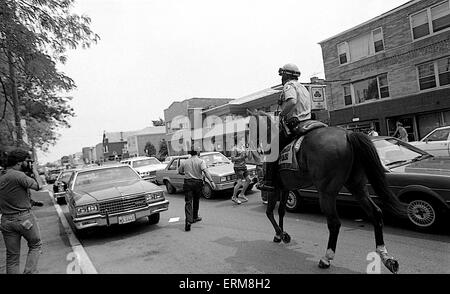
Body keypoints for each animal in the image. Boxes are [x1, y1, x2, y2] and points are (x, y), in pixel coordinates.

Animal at [248, 109, 406, 274]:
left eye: (250, 126)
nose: (252, 149)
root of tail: (348, 134)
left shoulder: (274, 189)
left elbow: (269, 213)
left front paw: (280, 234)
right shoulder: (285, 188)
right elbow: (281, 212)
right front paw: (282, 235)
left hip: (326, 193)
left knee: (334, 223)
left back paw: (326, 258)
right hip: (357, 187)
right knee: (375, 213)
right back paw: (386, 258)